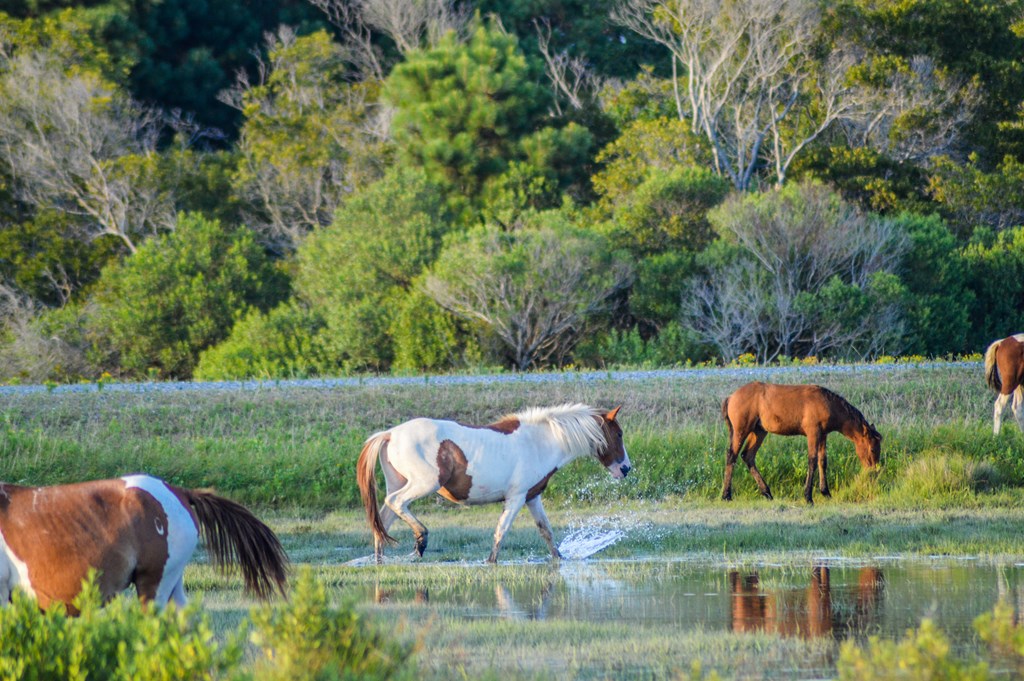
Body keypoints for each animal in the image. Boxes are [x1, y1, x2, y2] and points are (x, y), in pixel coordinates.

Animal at [360, 403, 630, 561]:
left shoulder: (532, 497)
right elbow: (501, 531)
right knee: (395, 503)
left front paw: (559, 559)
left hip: (399, 483)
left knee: (382, 522)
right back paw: (421, 539)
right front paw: (491, 562)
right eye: (618, 434)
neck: (540, 442)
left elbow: (546, 531)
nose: (626, 469)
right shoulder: (516, 497)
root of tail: (389, 434)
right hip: (423, 484)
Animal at [720, 382, 880, 503]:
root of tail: (730, 397)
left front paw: (825, 492)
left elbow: (823, 461)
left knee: (748, 456)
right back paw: (726, 495)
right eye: (872, 449)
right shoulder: (813, 433)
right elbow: (812, 461)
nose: (874, 470)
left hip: (759, 431)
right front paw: (808, 496)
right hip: (742, 431)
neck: (827, 403)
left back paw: (767, 492)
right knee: (732, 455)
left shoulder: (823, 435)